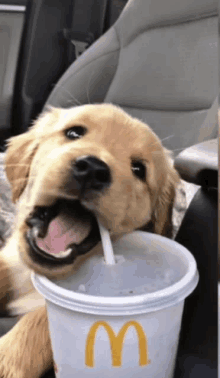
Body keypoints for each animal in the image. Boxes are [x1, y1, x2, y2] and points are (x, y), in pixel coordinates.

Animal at [0, 104, 180, 378]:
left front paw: (6, 359)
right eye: (74, 133)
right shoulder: (9, 259)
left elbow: (40, 317)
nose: (93, 169)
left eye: (139, 169)